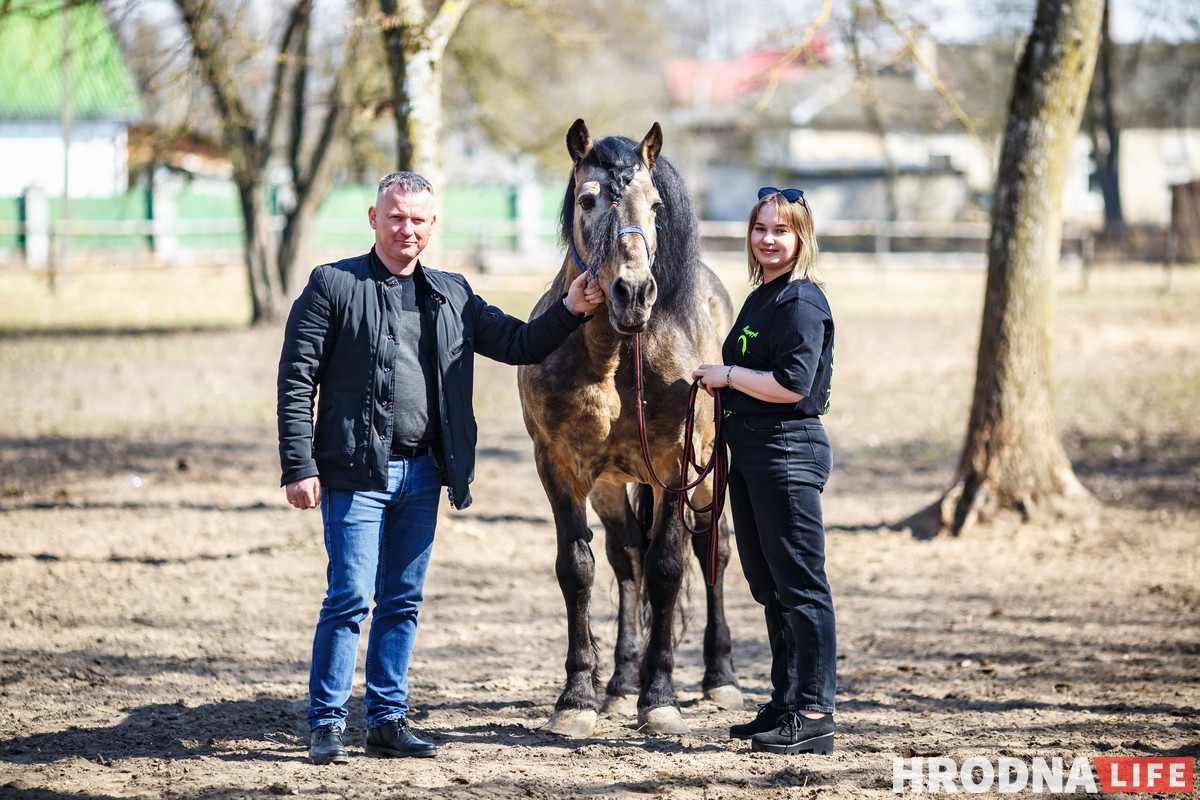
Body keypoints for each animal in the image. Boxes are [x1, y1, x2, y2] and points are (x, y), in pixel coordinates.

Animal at [516, 118, 739, 738]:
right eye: (588, 200)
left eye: (656, 204)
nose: (634, 293)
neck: (615, 355)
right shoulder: (560, 467)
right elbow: (580, 569)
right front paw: (577, 699)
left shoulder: (675, 466)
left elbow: (668, 567)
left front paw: (659, 698)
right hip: (613, 487)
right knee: (625, 559)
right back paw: (618, 685)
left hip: (709, 476)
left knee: (711, 550)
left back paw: (719, 677)